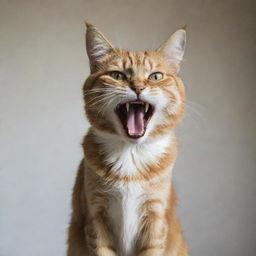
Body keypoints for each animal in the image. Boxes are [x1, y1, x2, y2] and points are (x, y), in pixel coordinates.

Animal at [67, 22, 189, 256]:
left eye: (156, 76)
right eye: (117, 75)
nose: (138, 87)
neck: (131, 154)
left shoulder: (155, 219)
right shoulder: (96, 218)